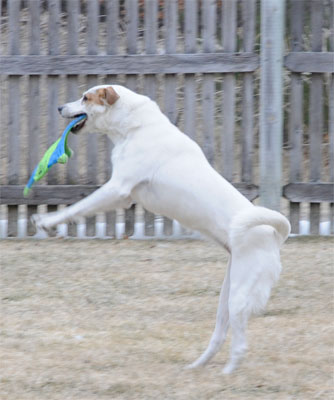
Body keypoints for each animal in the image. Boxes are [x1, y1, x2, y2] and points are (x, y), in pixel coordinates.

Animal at [32, 85, 290, 376]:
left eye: (85, 98)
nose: (59, 108)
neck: (134, 128)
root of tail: (274, 235)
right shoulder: (122, 197)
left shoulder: (117, 189)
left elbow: (75, 208)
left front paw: (46, 221)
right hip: (226, 296)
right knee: (219, 335)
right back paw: (196, 366)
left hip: (239, 296)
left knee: (240, 343)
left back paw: (227, 374)